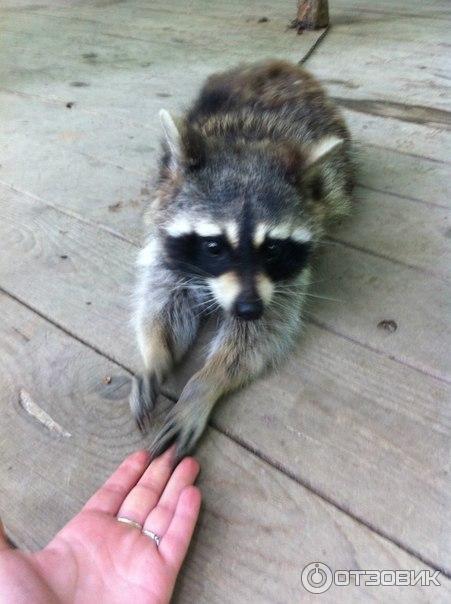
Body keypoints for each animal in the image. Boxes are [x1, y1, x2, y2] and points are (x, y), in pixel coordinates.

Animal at [132, 60, 354, 458]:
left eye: (273, 249)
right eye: (214, 247)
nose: (248, 308)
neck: (247, 143)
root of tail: (281, 65)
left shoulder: (284, 282)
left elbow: (260, 335)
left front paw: (207, 381)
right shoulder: (165, 237)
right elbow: (162, 297)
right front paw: (154, 354)